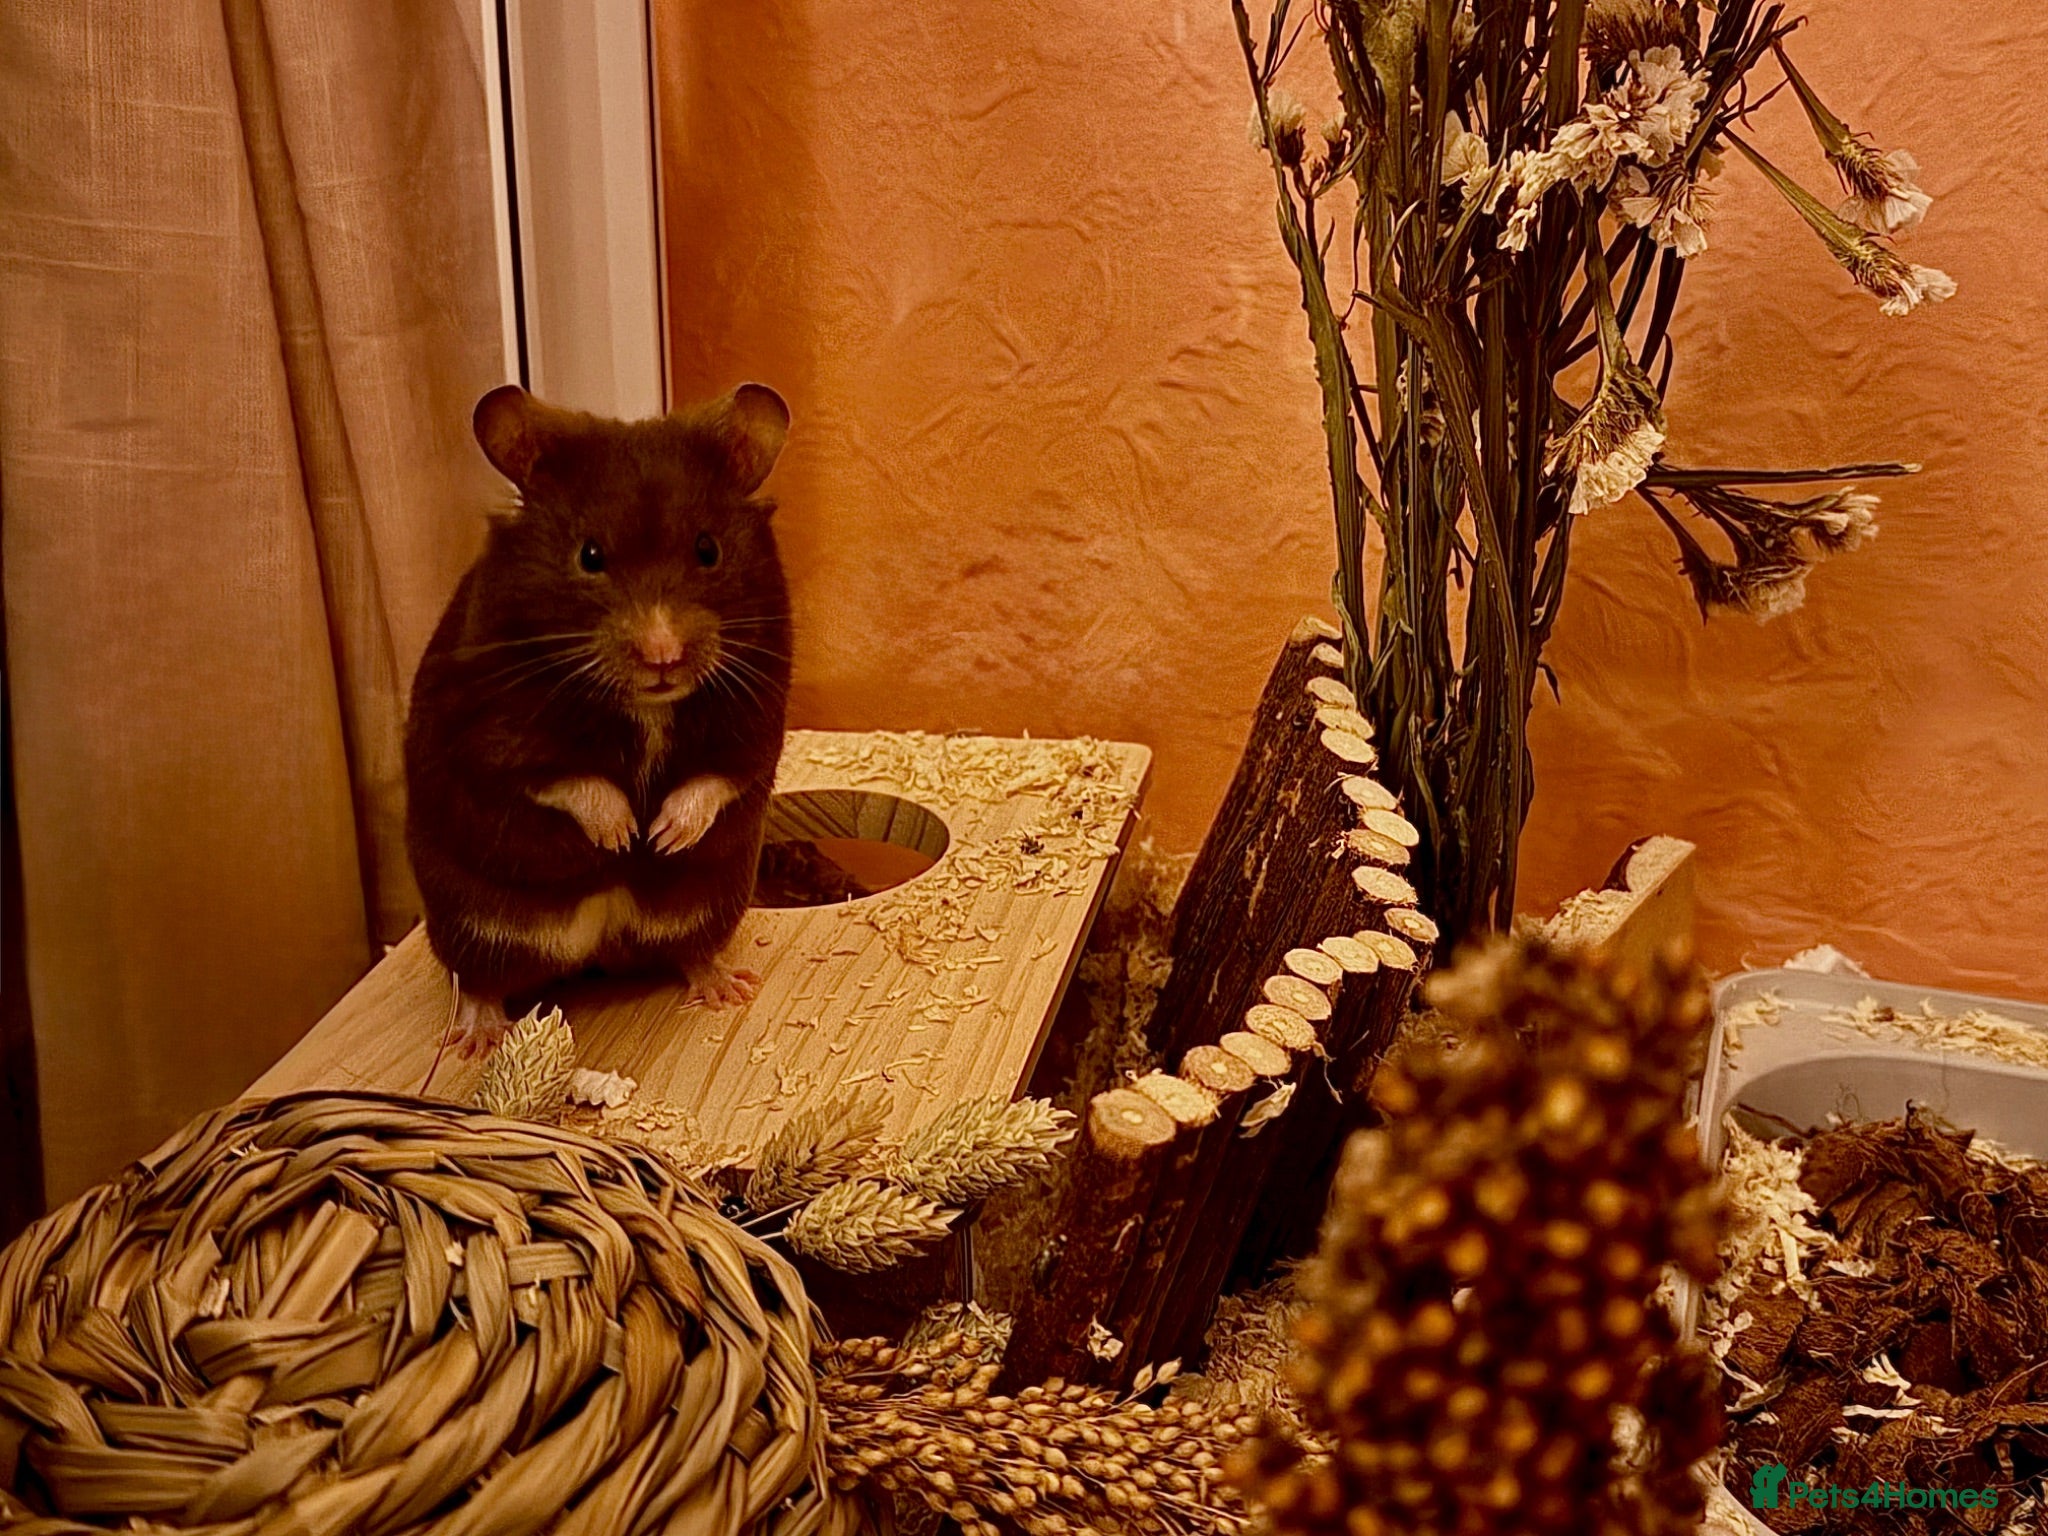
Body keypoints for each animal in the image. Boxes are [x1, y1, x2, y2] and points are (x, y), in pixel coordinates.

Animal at [404, 382, 793, 1053]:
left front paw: (662, 837)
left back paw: (727, 987)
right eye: (590, 555)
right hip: (469, 924)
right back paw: (478, 1038)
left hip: (713, 902)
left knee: (689, 951)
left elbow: (716, 779)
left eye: (709, 550)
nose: (662, 655)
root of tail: (594, 951)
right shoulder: (487, 735)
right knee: (479, 979)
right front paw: (622, 835)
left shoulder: (759, 718)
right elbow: (566, 780)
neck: (647, 703)